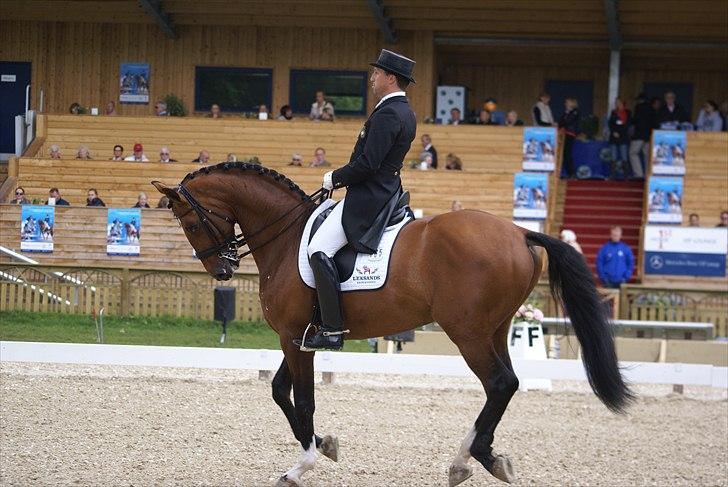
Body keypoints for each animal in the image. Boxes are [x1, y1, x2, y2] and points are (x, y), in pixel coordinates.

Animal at [152, 164, 632, 487]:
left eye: (190, 222)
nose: (222, 271)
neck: (287, 239)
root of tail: (520, 232)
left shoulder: (292, 336)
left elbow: (302, 400)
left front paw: (300, 465)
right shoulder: (300, 338)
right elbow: (279, 391)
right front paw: (325, 444)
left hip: (469, 332)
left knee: (499, 383)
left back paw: (469, 459)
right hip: (495, 328)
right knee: (506, 384)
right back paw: (478, 458)